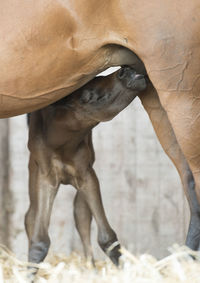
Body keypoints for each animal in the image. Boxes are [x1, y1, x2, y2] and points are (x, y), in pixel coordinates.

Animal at [25, 66, 147, 266]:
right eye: (89, 96)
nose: (125, 70)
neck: (61, 143)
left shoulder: (86, 174)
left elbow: (107, 236)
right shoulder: (45, 176)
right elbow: (39, 239)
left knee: (81, 216)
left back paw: (92, 266)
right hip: (34, 174)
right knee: (30, 216)